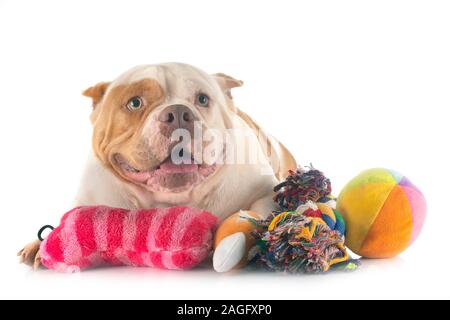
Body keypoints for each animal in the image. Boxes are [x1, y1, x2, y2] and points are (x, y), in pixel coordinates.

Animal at [18, 62, 296, 270]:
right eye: (134, 103)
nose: (179, 113)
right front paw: (41, 244)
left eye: (202, 99)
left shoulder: (264, 190)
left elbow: (259, 212)